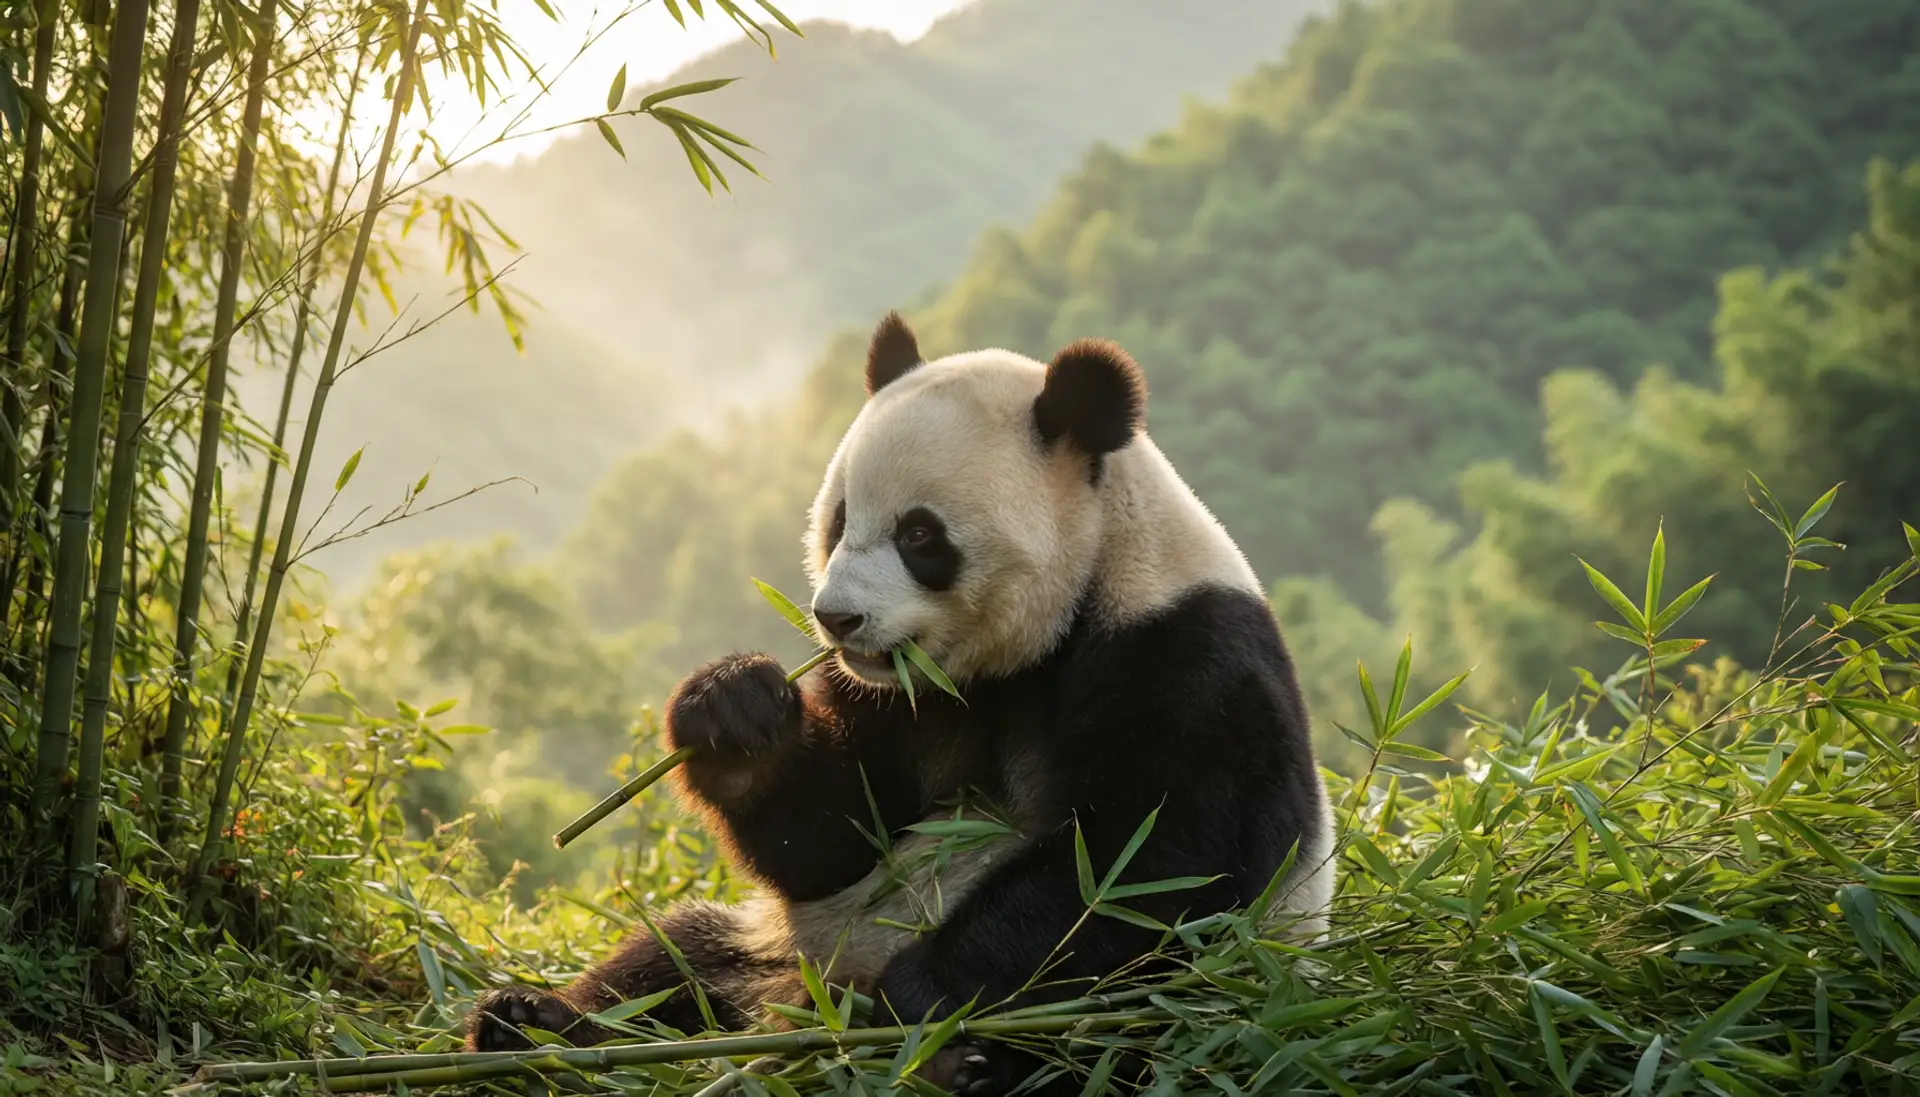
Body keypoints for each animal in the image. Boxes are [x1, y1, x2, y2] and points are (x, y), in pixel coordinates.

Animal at [467, 313, 1335, 1094]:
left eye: (920, 535)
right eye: (840, 518)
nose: (835, 618)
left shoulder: (1186, 660)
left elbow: (1138, 870)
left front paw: (904, 1008)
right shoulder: (905, 696)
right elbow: (836, 836)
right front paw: (734, 715)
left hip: (1198, 1014)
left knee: (1107, 1045)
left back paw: (951, 1064)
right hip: (783, 943)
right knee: (674, 957)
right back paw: (537, 1025)